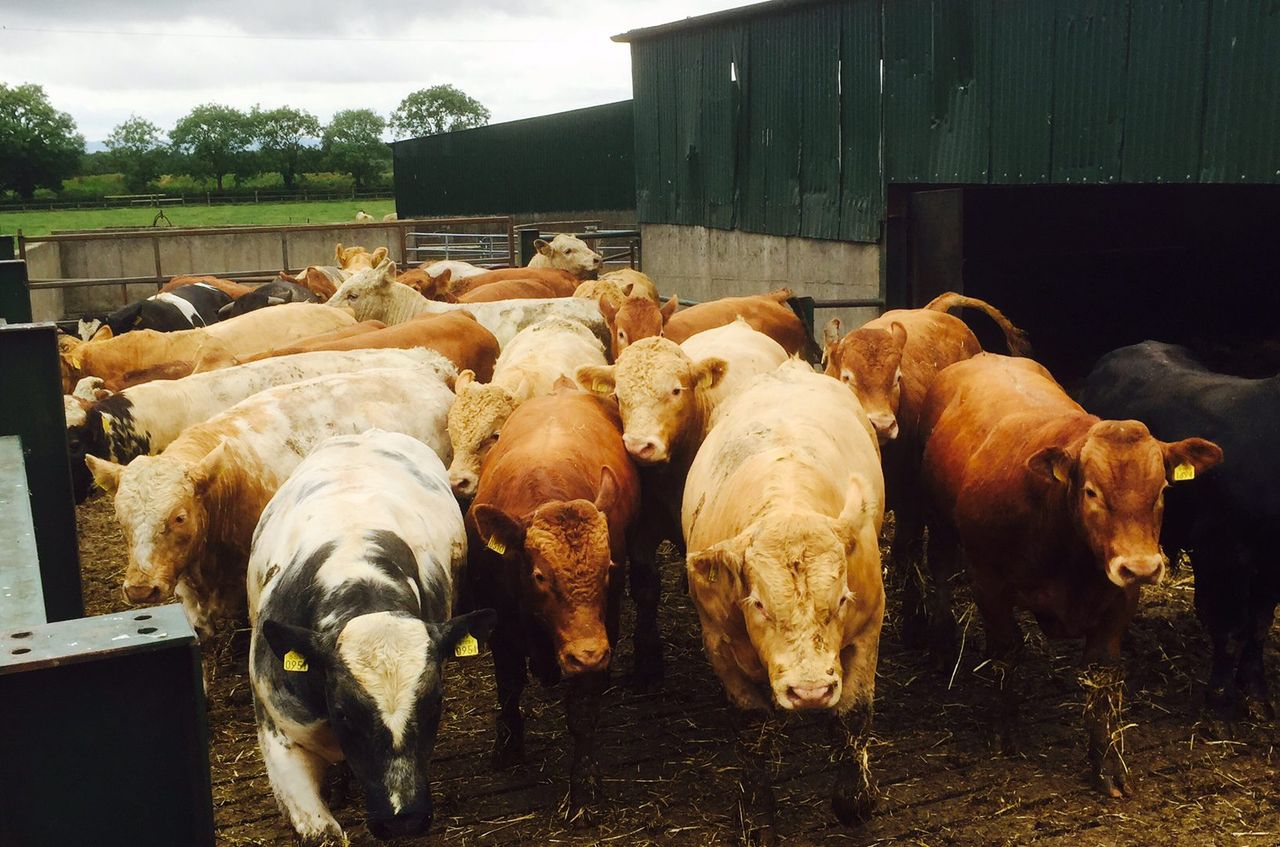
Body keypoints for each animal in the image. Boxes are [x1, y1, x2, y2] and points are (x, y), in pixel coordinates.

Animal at [466, 387, 641, 817]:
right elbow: (509, 686)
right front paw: (508, 745)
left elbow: (582, 712)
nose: (589, 655)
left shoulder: (600, 629)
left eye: (608, 569)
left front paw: (586, 783)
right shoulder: (502, 628)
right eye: (540, 576)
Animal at [682, 360, 885, 840]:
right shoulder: (718, 645)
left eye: (843, 598)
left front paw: (855, 800)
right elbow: (753, 730)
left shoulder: (869, 627)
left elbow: (852, 713)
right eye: (757, 603)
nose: (810, 691)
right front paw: (758, 816)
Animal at [820, 292, 1031, 649]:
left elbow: (908, 551)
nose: (882, 424)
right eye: (847, 377)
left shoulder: (913, 503)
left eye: (897, 378)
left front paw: (915, 622)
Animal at [919, 353, 1222, 797]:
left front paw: (1106, 763)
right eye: (1092, 491)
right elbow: (1007, 652)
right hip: (937, 520)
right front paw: (1006, 730)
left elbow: (1102, 675)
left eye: (1162, 490)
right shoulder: (989, 585)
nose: (1141, 566)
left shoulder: (1120, 599)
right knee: (939, 568)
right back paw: (940, 643)